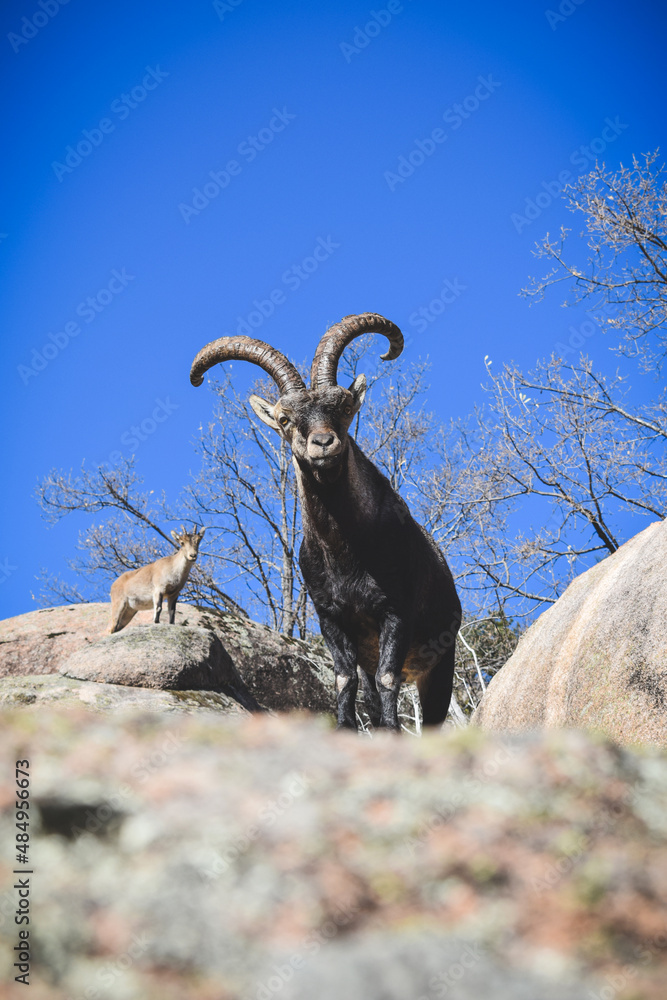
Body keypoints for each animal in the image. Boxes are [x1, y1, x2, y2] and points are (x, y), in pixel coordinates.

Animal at [190, 314, 461, 730]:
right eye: (284, 419)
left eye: (345, 406)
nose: (323, 443)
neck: (344, 552)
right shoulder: (330, 617)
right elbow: (345, 680)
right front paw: (346, 727)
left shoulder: (395, 611)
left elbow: (387, 678)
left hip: (440, 664)